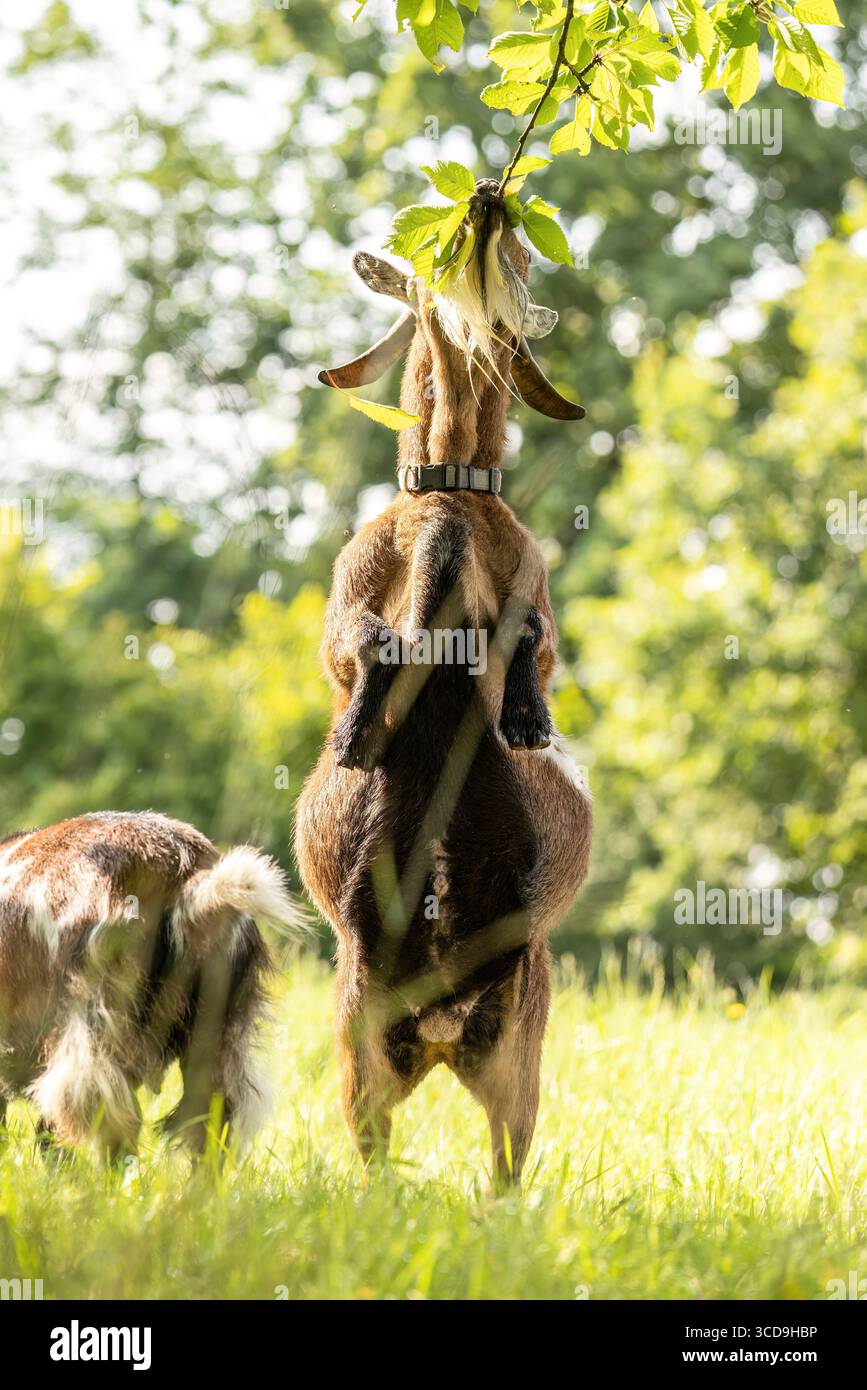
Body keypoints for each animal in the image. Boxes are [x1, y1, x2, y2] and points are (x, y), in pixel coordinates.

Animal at [296, 180, 592, 1188]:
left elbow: (514, 638)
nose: (488, 195)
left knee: (485, 1166)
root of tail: (434, 1028)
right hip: (374, 1035)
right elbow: (371, 642)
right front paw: (360, 731)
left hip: (492, 1039)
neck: (447, 495)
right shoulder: (378, 589)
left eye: (525, 257)